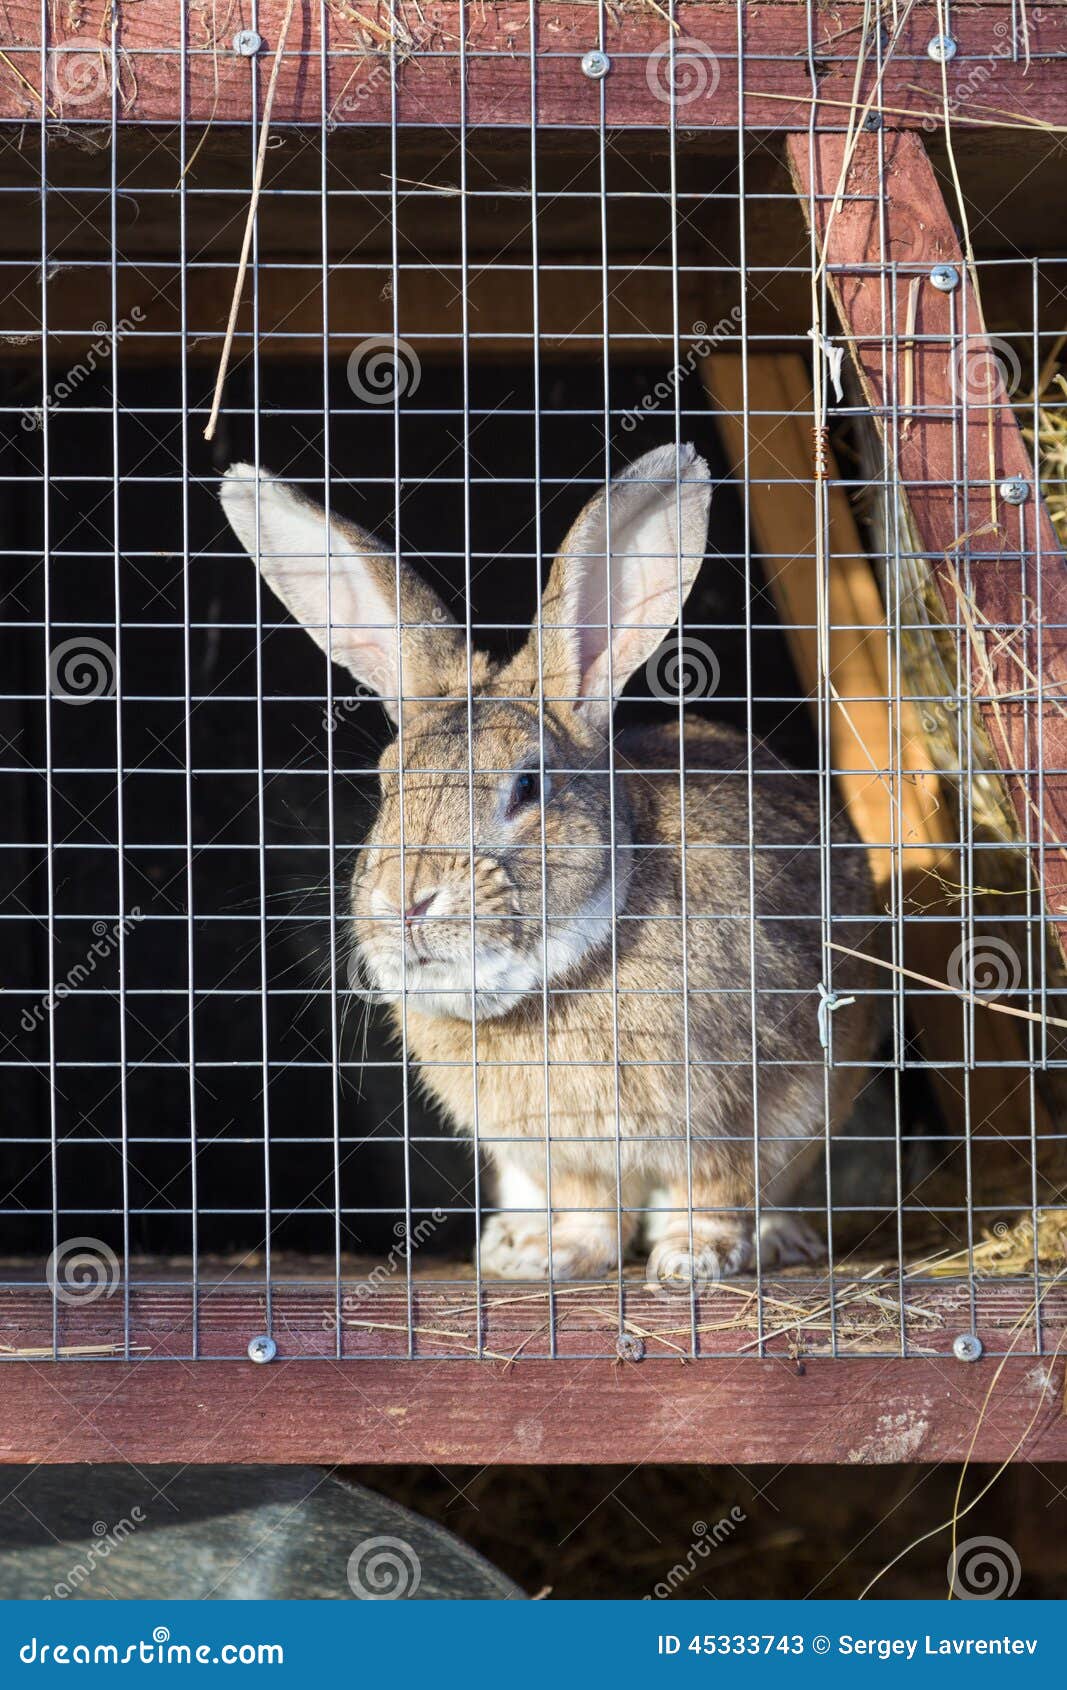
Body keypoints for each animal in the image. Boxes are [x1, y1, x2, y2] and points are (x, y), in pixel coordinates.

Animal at [219, 444, 878, 1283]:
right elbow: (588, 1203)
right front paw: (558, 1256)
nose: (408, 902)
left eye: (527, 786)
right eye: (387, 781)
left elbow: (715, 1185)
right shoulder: (565, 1153)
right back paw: (514, 1243)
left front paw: (692, 1261)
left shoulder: (737, 1106)